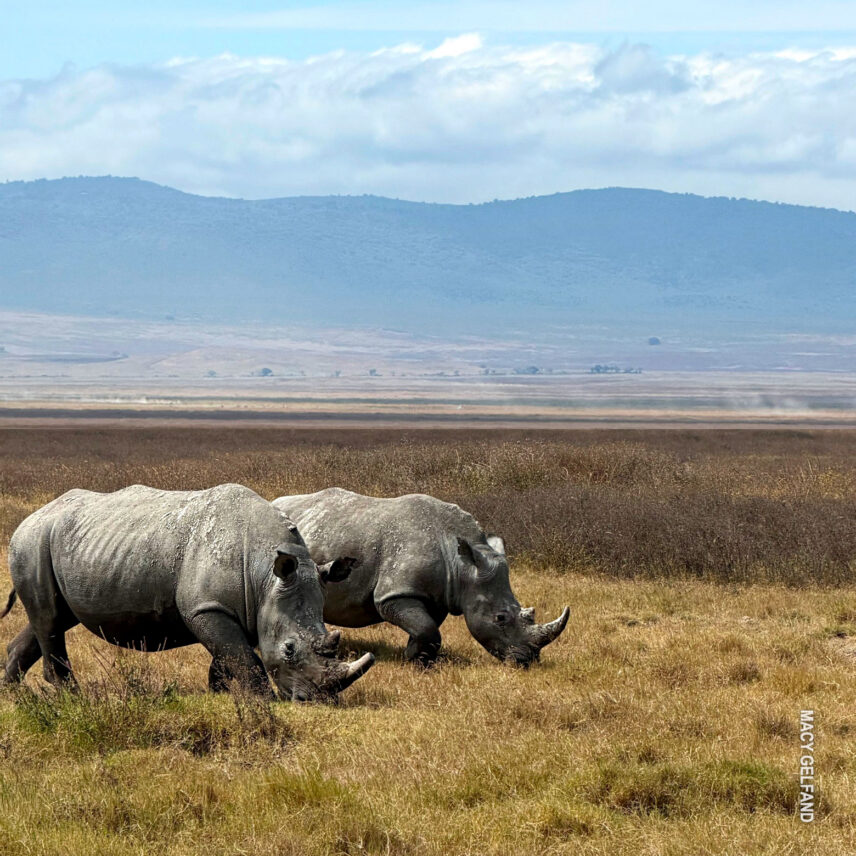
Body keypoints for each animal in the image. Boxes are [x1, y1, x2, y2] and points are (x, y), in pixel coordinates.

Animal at [1, 484, 374, 701]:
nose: (318, 701)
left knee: (51, 619)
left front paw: (218, 694)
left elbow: (228, 655)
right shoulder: (206, 607)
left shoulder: (244, 606)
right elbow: (242, 656)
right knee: (49, 619)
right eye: (289, 649)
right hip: (32, 542)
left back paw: (9, 691)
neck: (264, 574)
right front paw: (260, 700)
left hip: (58, 543)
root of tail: (30, 518)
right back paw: (72, 697)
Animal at [272, 488, 569, 666]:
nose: (527, 660)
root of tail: (275, 501)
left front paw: (417, 658)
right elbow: (427, 627)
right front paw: (418, 661)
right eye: (500, 618)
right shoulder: (396, 593)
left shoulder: (439, 594)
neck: (462, 564)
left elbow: (428, 627)